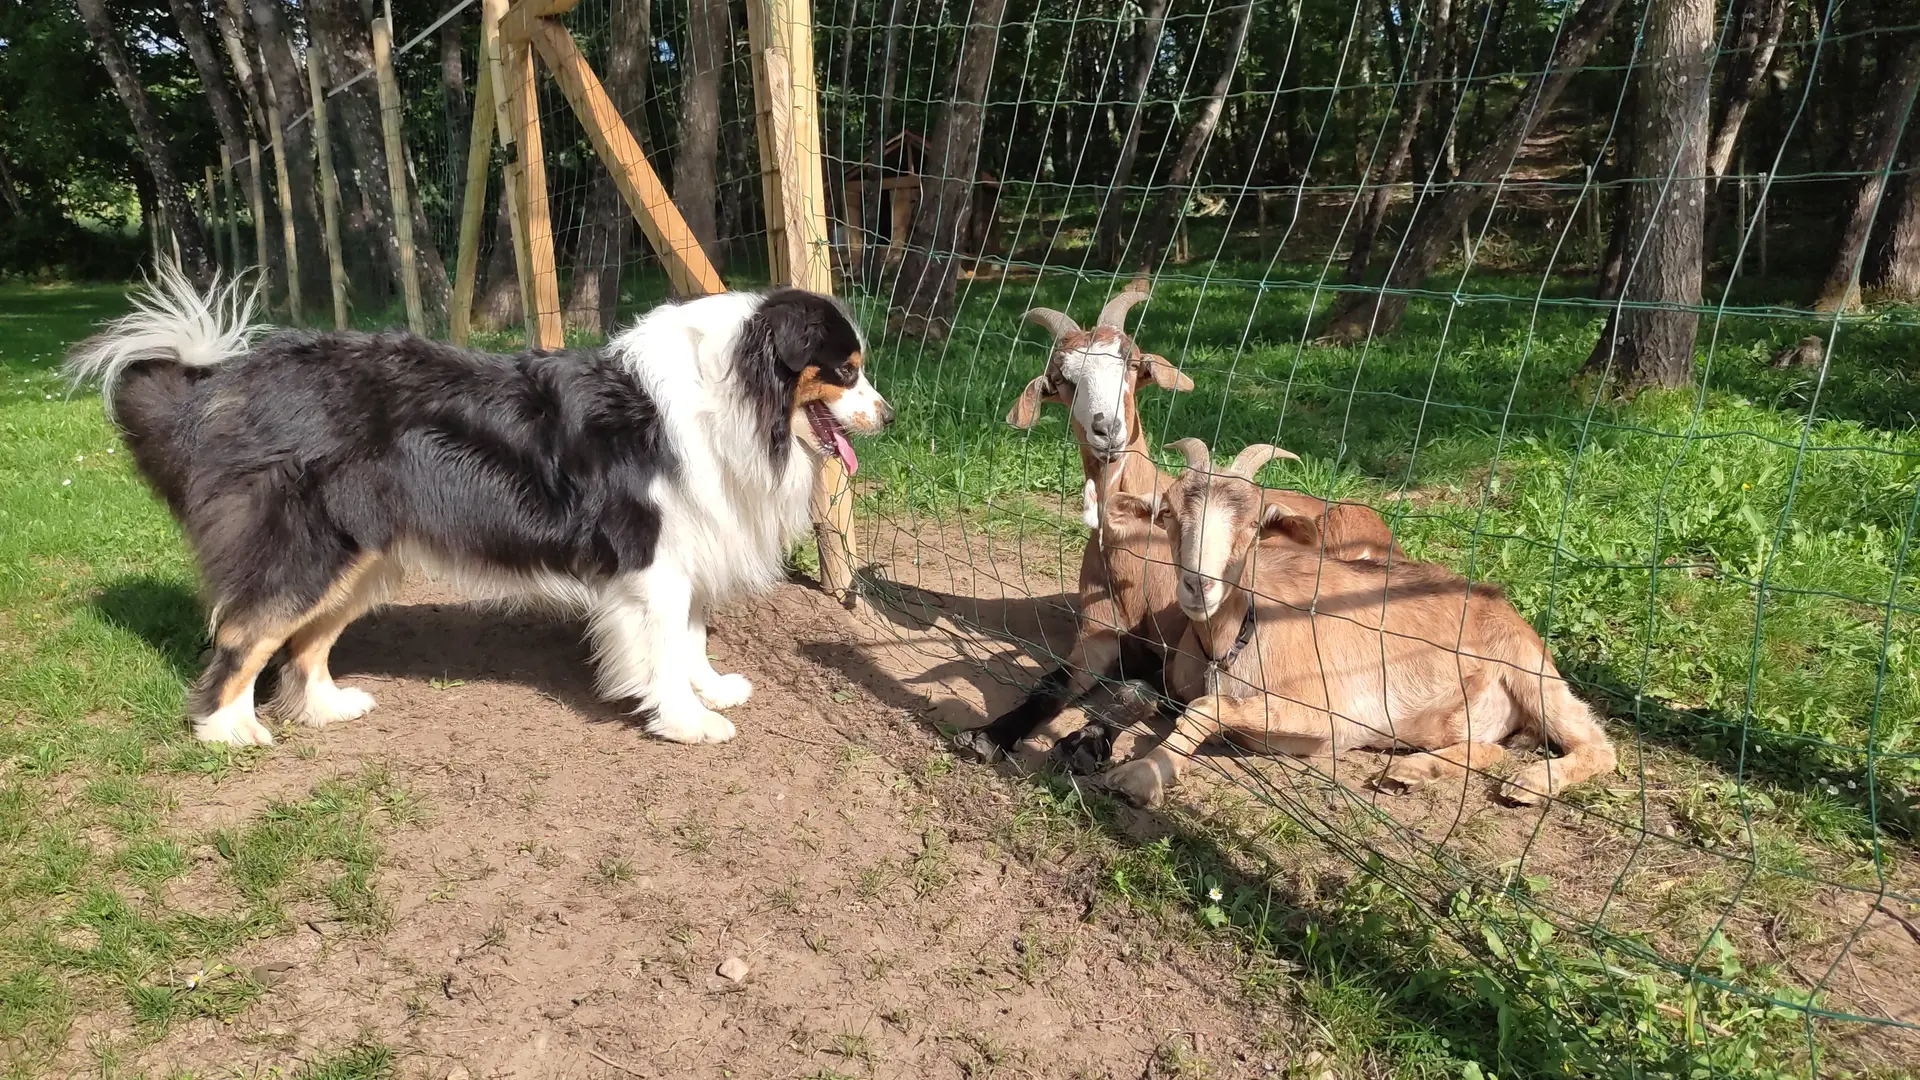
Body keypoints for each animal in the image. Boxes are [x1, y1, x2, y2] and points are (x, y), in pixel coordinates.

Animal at [65, 265, 890, 745]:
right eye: (844, 371)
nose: (888, 413)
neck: (738, 397)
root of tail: (225, 386)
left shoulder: (687, 544)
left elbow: (689, 637)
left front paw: (709, 688)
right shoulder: (651, 558)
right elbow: (662, 648)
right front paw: (687, 720)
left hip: (362, 557)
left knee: (304, 642)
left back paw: (328, 708)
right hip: (310, 550)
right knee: (245, 633)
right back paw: (229, 732)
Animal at [1098, 438, 1620, 807]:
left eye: (1252, 526)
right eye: (1167, 514)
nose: (1197, 586)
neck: (1236, 638)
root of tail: (1500, 601)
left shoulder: (1325, 715)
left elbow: (1207, 707)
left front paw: (1140, 775)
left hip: (1531, 670)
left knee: (1597, 744)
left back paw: (1530, 782)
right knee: (1491, 747)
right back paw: (1411, 772)